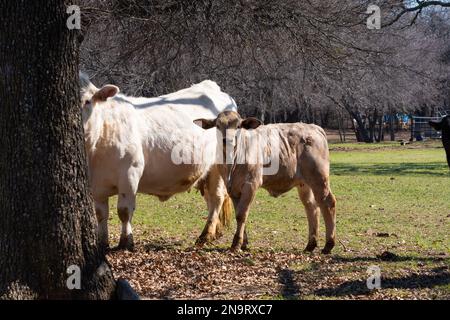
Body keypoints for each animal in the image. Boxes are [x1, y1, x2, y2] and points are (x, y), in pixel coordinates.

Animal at [79, 73, 237, 250]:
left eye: (87, 101)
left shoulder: (130, 173)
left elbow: (124, 211)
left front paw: (126, 242)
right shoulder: (97, 185)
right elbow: (100, 214)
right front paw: (102, 243)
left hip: (219, 165)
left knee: (217, 198)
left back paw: (206, 235)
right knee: (210, 198)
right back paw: (213, 232)